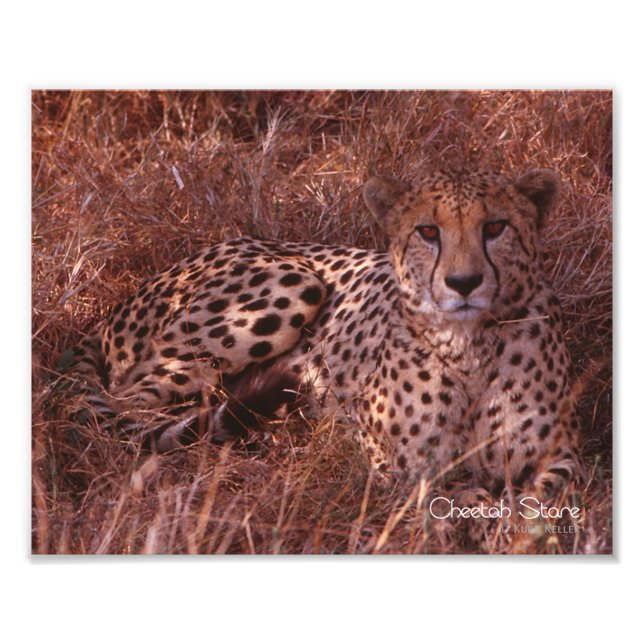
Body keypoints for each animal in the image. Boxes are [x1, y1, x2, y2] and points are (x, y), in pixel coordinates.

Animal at [70, 166, 581, 494]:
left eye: (495, 227)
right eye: (428, 232)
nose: (464, 282)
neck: (469, 346)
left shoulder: (563, 456)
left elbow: (543, 499)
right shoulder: (390, 460)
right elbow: (446, 494)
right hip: (294, 284)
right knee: (123, 406)